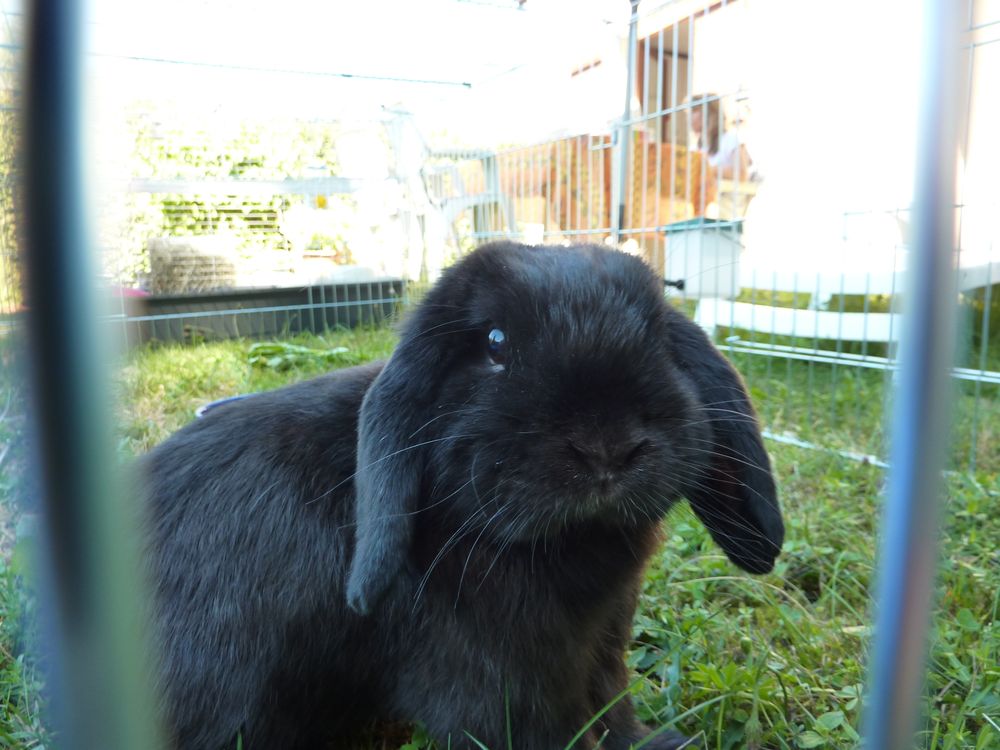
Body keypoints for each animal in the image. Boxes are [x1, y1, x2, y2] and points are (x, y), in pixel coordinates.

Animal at [141, 241, 784, 750]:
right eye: (495, 341)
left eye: (657, 334)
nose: (609, 447)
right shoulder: (501, 684)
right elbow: (554, 729)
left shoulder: (599, 647)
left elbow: (612, 703)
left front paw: (656, 743)